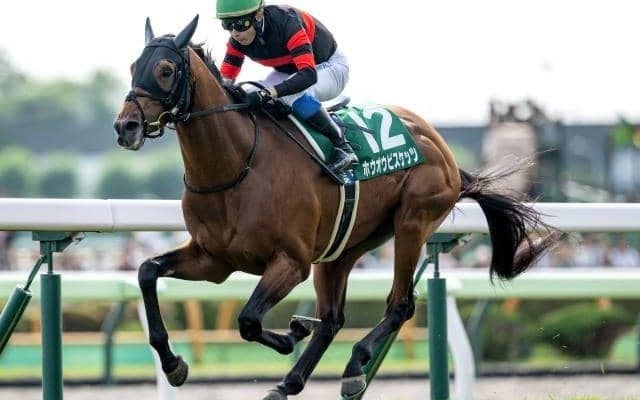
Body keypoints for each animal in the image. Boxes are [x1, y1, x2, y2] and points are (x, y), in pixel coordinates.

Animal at [113, 15, 559, 400]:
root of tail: (440, 146)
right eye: (134, 66)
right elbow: (148, 271)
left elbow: (249, 320)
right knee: (332, 319)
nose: (125, 127)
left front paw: (292, 332)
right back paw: (289, 383)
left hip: (412, 222)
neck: (237, 165)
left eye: (166, 70)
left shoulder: (291, 262)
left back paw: (353, 367)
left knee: (400, 304)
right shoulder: (214, 260)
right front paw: (174, 364)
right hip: (342, 247)